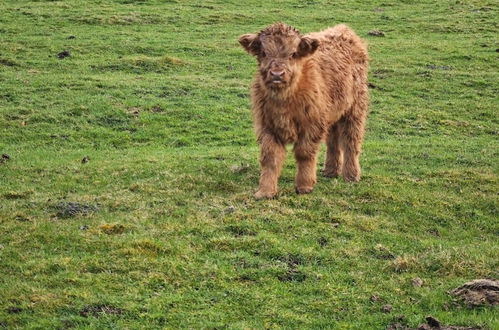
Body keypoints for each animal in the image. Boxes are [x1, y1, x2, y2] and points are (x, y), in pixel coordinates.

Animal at [240, 23, 370, 200]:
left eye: (293, 53)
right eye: (264, 52)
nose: (277, 74)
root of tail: (343, 29)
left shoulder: (312, 124)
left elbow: (304, 154)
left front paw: (304, 186)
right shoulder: (267, 126)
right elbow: (270, 158)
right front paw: (265, 191)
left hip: (355, 109)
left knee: (351, 141)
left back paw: (351, 175)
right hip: (332, 112)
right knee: (333, 140)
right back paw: (330, 170)